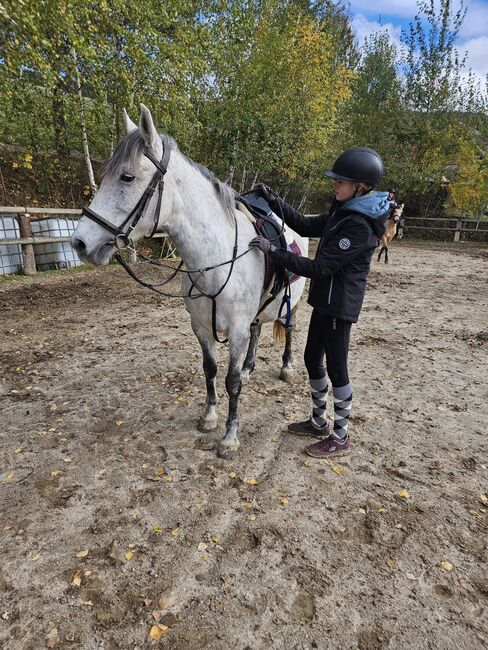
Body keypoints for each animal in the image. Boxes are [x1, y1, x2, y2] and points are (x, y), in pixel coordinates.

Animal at [70, 104, 306, 456]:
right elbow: (210, 370)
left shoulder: (236, 330)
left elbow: (231, 382)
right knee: (258, 330)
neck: (215, 261)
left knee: (288, 328)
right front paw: (209, 417)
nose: (80, 243)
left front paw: (229, 436)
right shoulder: (201, 327)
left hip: (291, 302)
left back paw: (287, 367)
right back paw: (250, 367)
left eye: (127, 177)